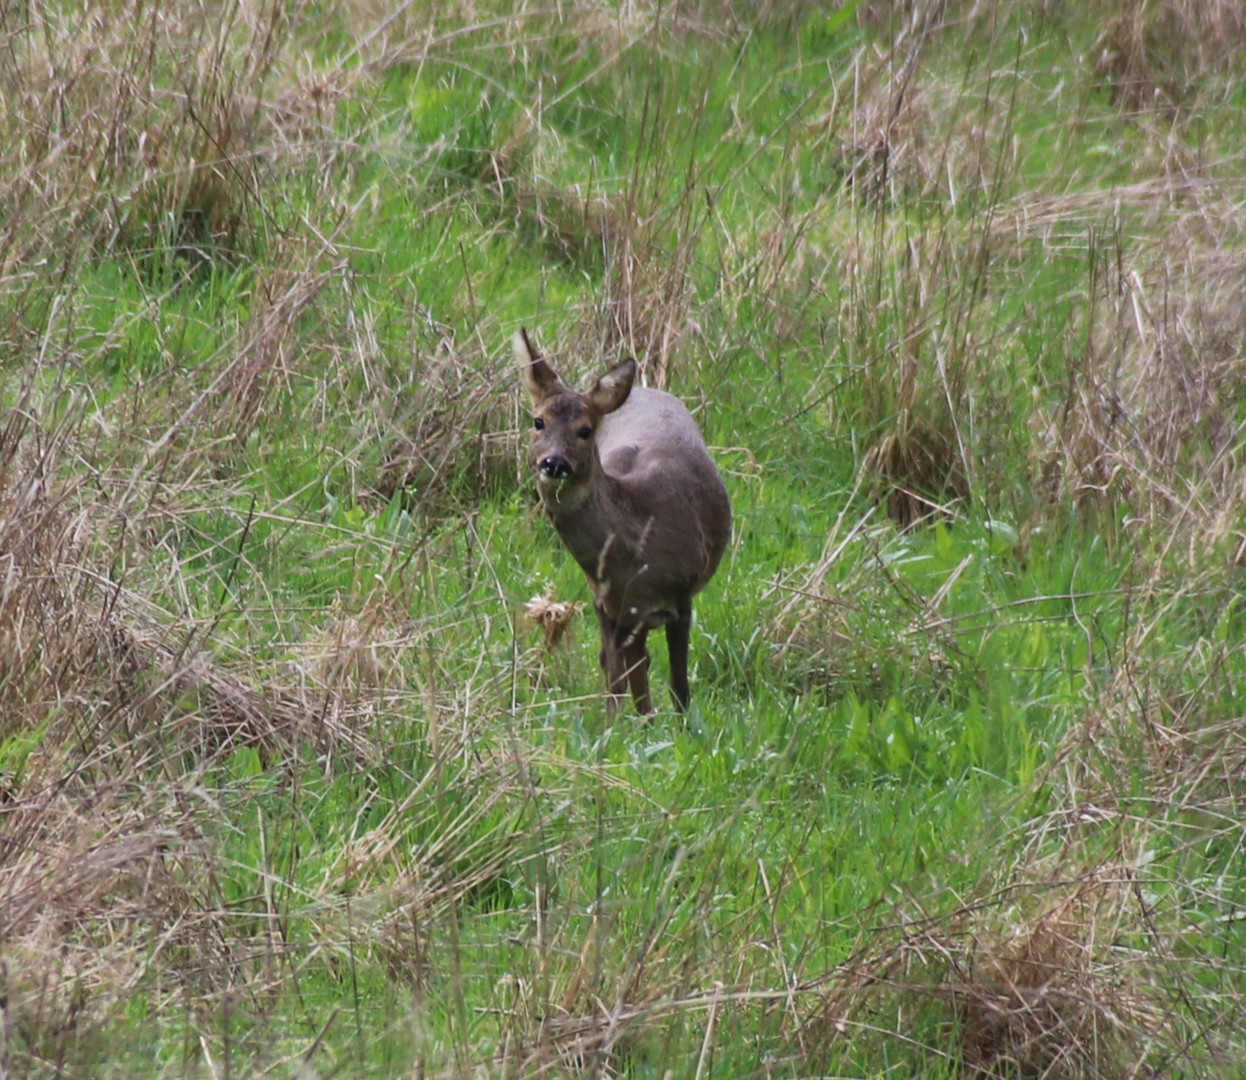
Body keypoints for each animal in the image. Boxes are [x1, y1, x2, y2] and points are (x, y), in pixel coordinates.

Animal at [513, 328, 727, 717]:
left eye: (584, 431)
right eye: (538, 422)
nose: (554, 463)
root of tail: (642, 388)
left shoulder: (681, 595)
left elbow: (678, 685)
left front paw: (678, 725)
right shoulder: (611, 603)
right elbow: (622, 676)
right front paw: (619, 726)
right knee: (616, 665)